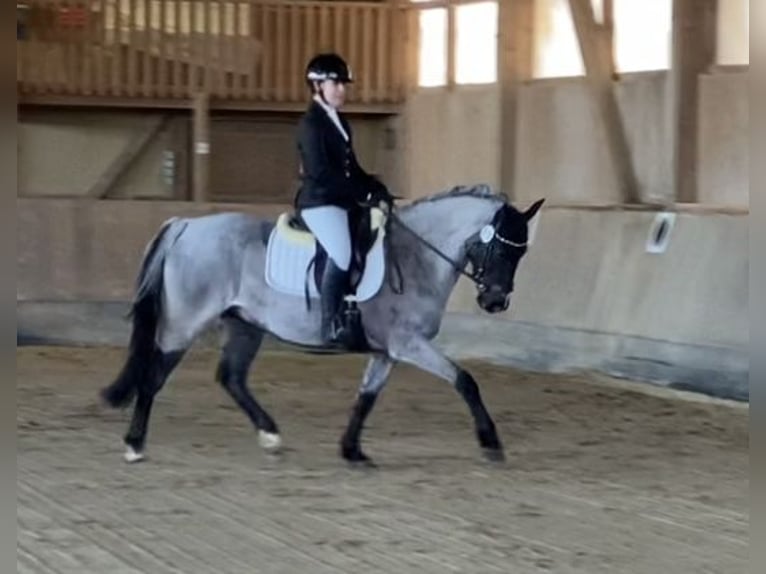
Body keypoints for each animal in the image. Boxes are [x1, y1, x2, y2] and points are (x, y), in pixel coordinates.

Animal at [100, 186, 544, 468]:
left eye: (521, 253)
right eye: (499, 247)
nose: (495, 302)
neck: (416, 256)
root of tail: (186, 225)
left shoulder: (387, 351)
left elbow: (366, 397)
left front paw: (352, 451)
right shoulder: (408, 343)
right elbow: (465, 380)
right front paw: (491, 444)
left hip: (245, 325)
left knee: (231, 377)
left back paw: (271, 435)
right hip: (186, 322)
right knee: (154, 376)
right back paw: (134, 445)